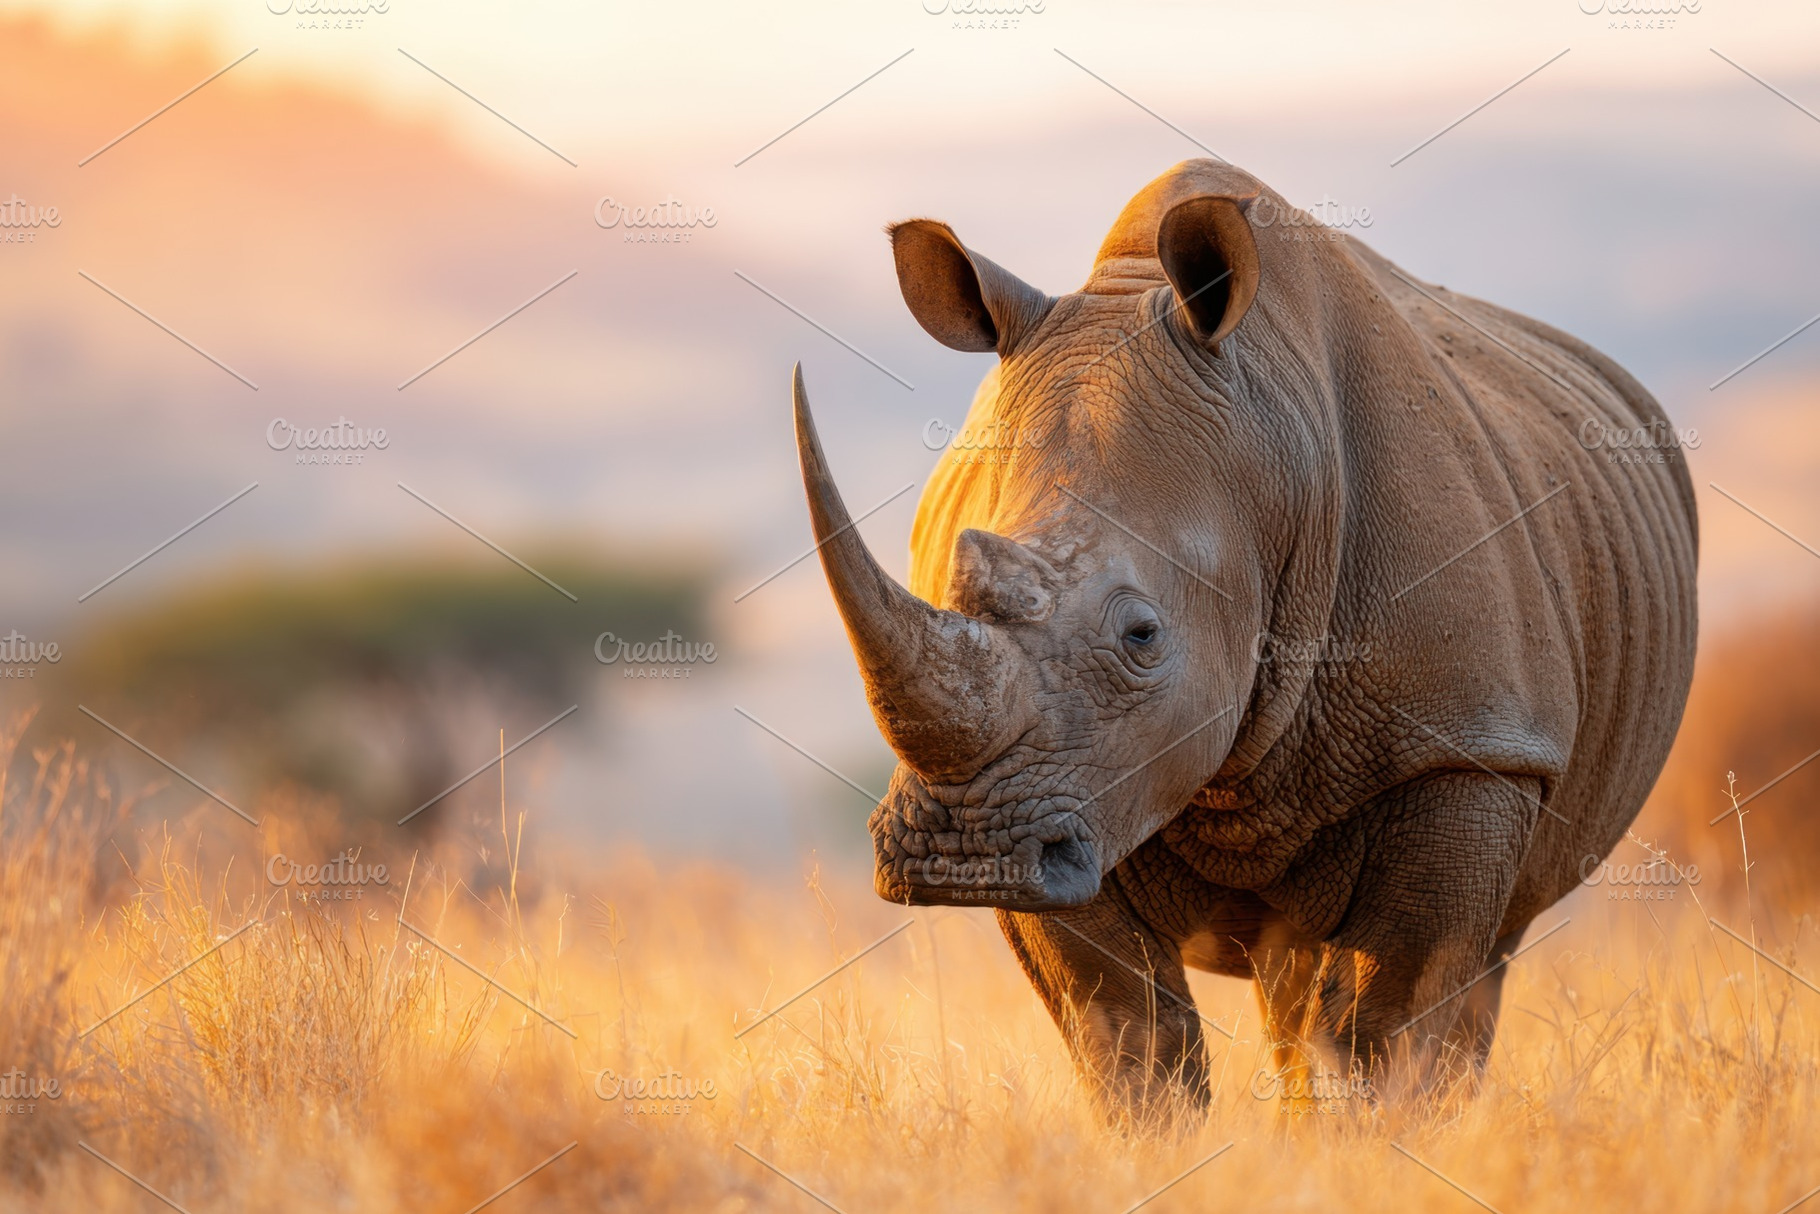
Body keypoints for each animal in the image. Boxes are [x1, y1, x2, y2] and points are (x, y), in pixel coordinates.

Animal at [789, 160, 1698, 1115]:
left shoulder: (1467, 743)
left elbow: (1382, 1025)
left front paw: (1377, 1138)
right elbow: (1126, 1035)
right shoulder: (1076, 801)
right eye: (942, 588)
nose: (962, 855)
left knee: (1469, 960)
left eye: (1142, 636)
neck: (1270, 469)